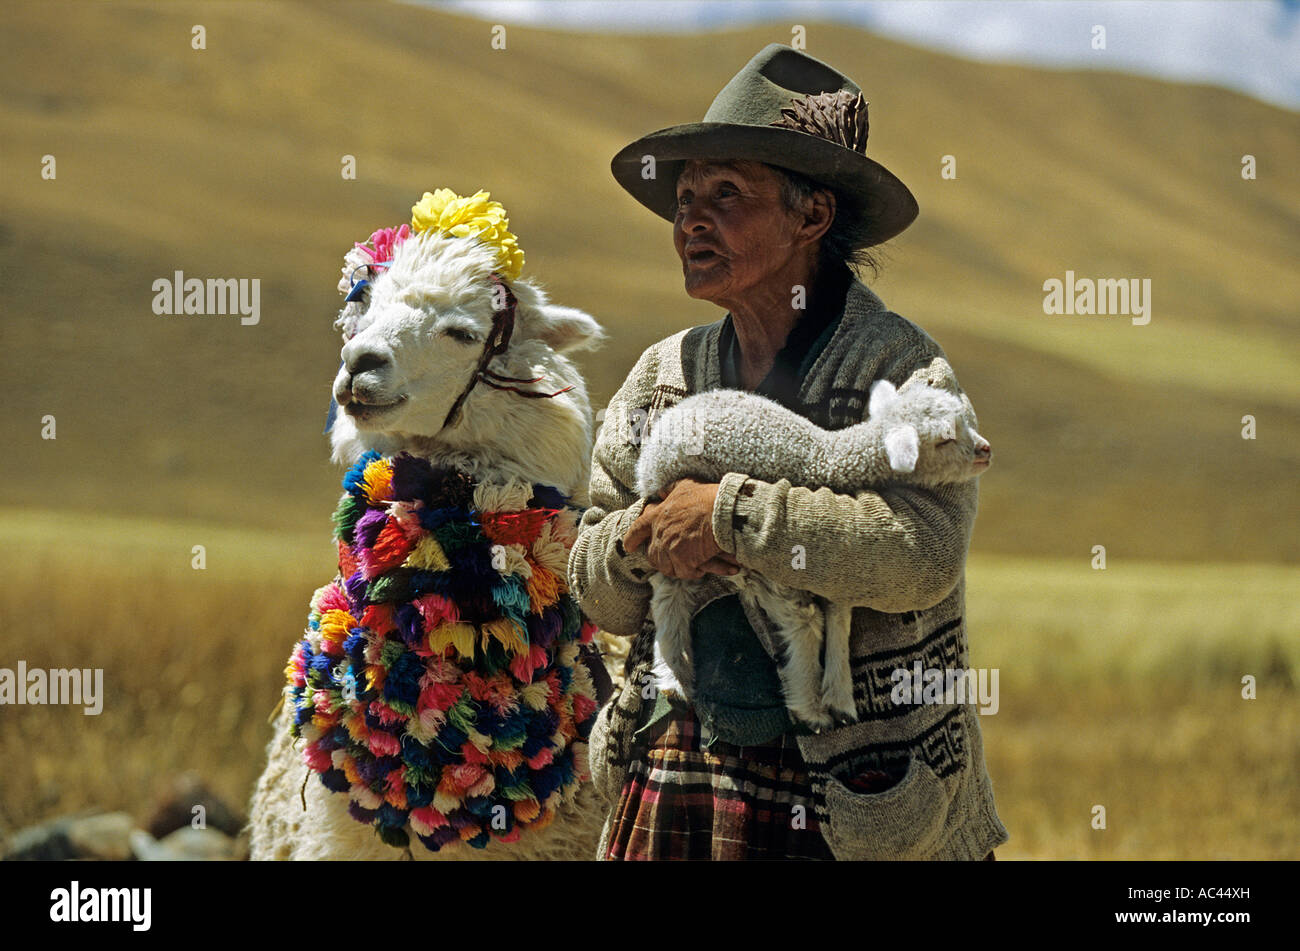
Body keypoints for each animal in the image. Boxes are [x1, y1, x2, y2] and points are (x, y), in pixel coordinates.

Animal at [634, 374, 987, 732]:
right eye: (945, 438)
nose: (986, 450)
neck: (825, 459)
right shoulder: (780, 564)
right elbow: (806, 622)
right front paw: (811, 708)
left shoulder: (832, 567)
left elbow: (839, 618)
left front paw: (839, 696)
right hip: (668, 510)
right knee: (669, 594)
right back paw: (674, 676)